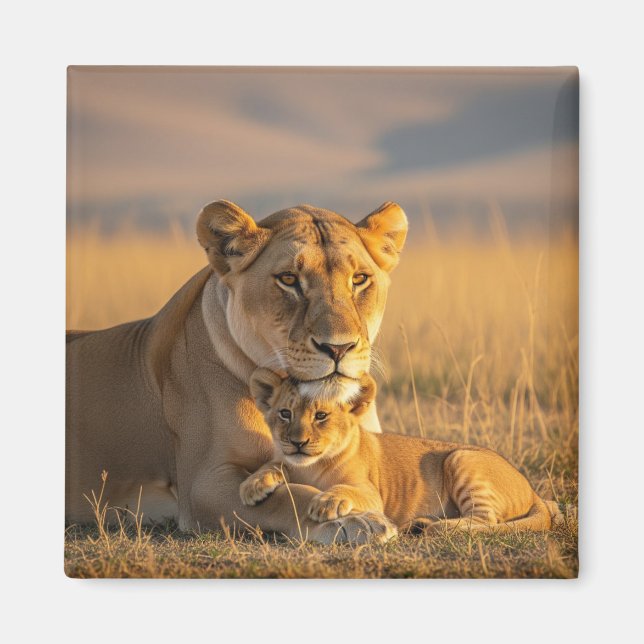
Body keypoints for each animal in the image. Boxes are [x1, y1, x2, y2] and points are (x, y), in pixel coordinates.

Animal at [66, 200, 407, 544]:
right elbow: (289, 496)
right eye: (288, 279)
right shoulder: (203, 483)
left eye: (359, 279)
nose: (338, 348)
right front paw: (354, 520)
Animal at [243, 370, 561, 533]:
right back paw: (422, 523)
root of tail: (532, 490)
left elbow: (346, 489)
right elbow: (275, 464)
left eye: (321, 416)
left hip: (461, 458)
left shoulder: (373, 496)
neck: (311, 465)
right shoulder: (288, 460)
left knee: (486, 520)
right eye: (285, 413)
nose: (297, 442)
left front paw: (325, 502)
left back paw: (439, 527)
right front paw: (252, 486)